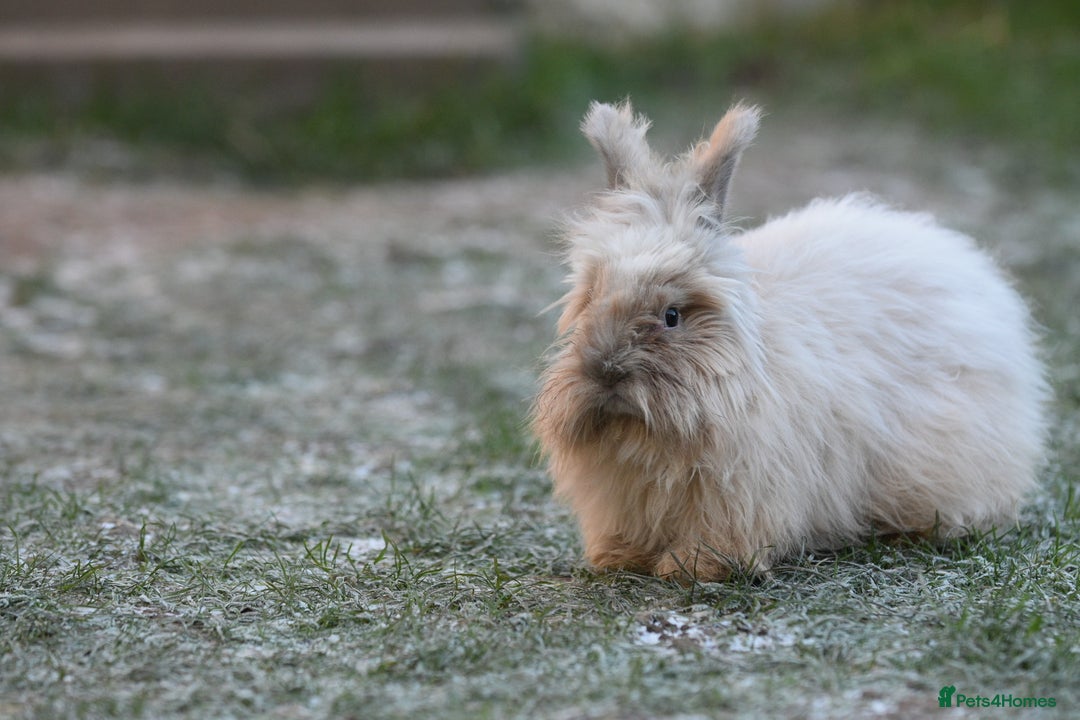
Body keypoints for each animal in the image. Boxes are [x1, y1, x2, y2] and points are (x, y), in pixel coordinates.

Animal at [531, 101, 1049, 583]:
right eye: (591, 300)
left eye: (672, 316)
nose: (606, 372)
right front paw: (618, 558)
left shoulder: (741, 490)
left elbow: (721, 536)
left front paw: (693, 567)